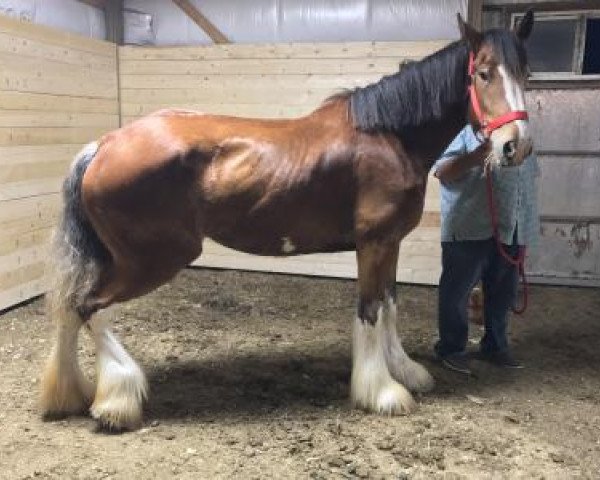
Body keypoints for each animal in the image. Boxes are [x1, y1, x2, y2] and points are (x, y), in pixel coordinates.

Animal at [39, 12, 532, 432]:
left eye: (525, 72)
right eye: (483, 73)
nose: (516, 146)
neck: (390, 136)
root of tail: (104, 144)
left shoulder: (389, 243)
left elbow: (389, 305)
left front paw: (406, 373)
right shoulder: (373, 243)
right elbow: (370, 310)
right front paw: (382, 392)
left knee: (70, 307)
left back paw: (70, 395)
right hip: (151, 261)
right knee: (89, 306)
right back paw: (116, 401)